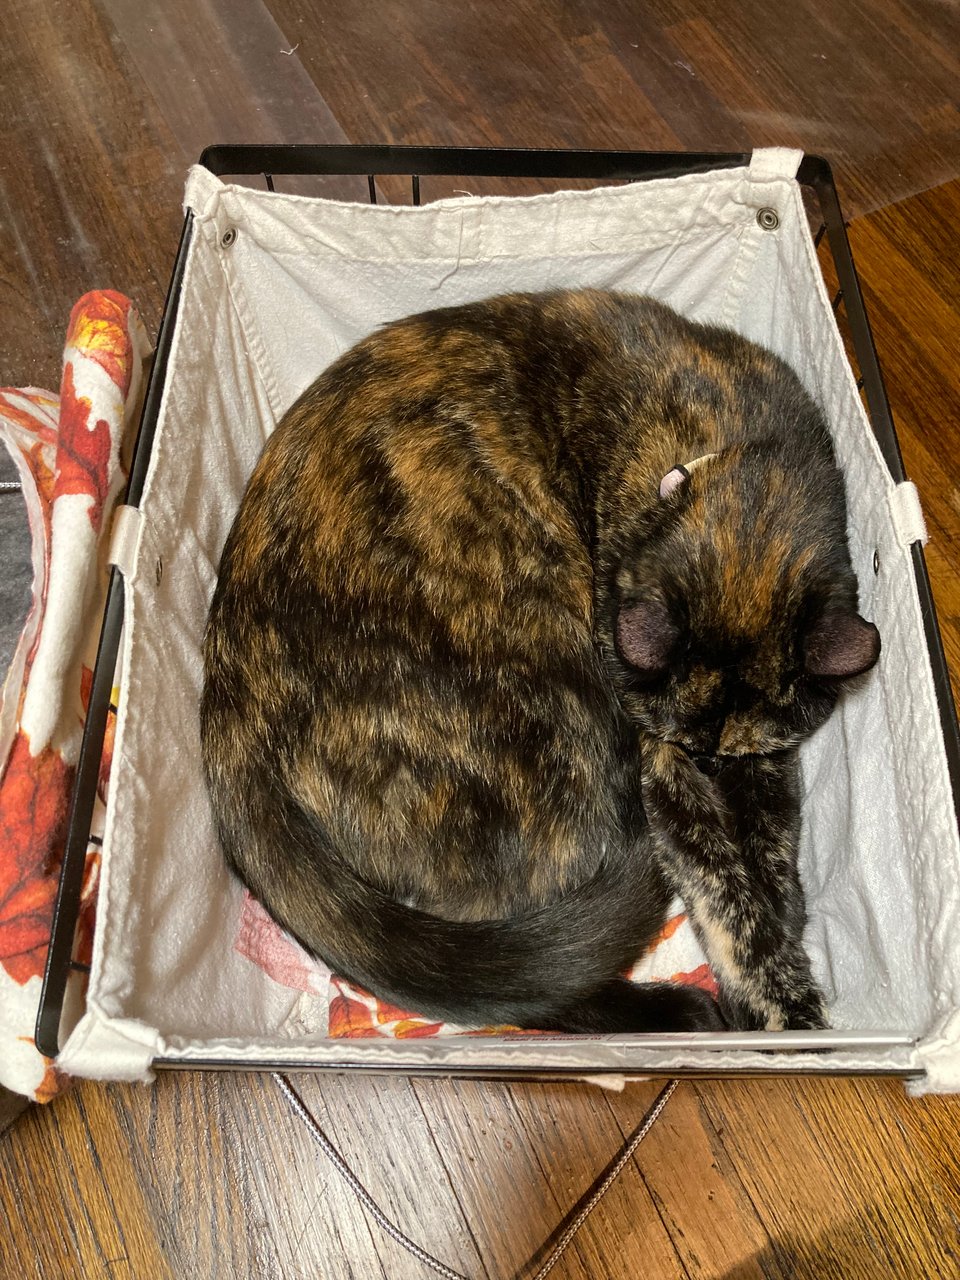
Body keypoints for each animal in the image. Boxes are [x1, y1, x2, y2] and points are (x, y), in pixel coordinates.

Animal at [199, 288, 885, 1029]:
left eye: (728, 753)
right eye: (687, 749)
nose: (706, 767)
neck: (724, 445)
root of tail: (227, 708)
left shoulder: (764, 759)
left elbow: (771, 848)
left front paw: (786, 933)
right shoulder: (661, 763)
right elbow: (722, 888)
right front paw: (782, 1008)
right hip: (562, 714)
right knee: (517, 974)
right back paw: (681, 1010)